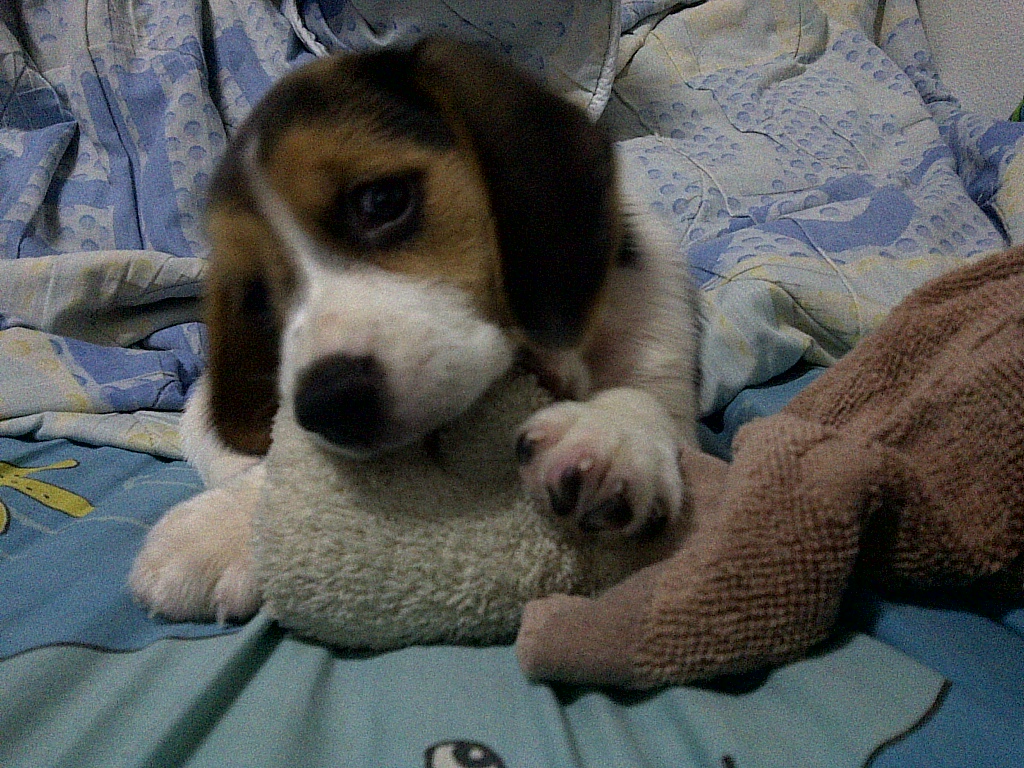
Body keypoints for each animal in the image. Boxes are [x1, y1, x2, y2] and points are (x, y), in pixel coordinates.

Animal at [130, 37, 700, 623]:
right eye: (257, 297)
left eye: (382, 201)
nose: (328, 404)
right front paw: (221, 527)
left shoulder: (660, 344)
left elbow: (644, 400)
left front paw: (610, 432)